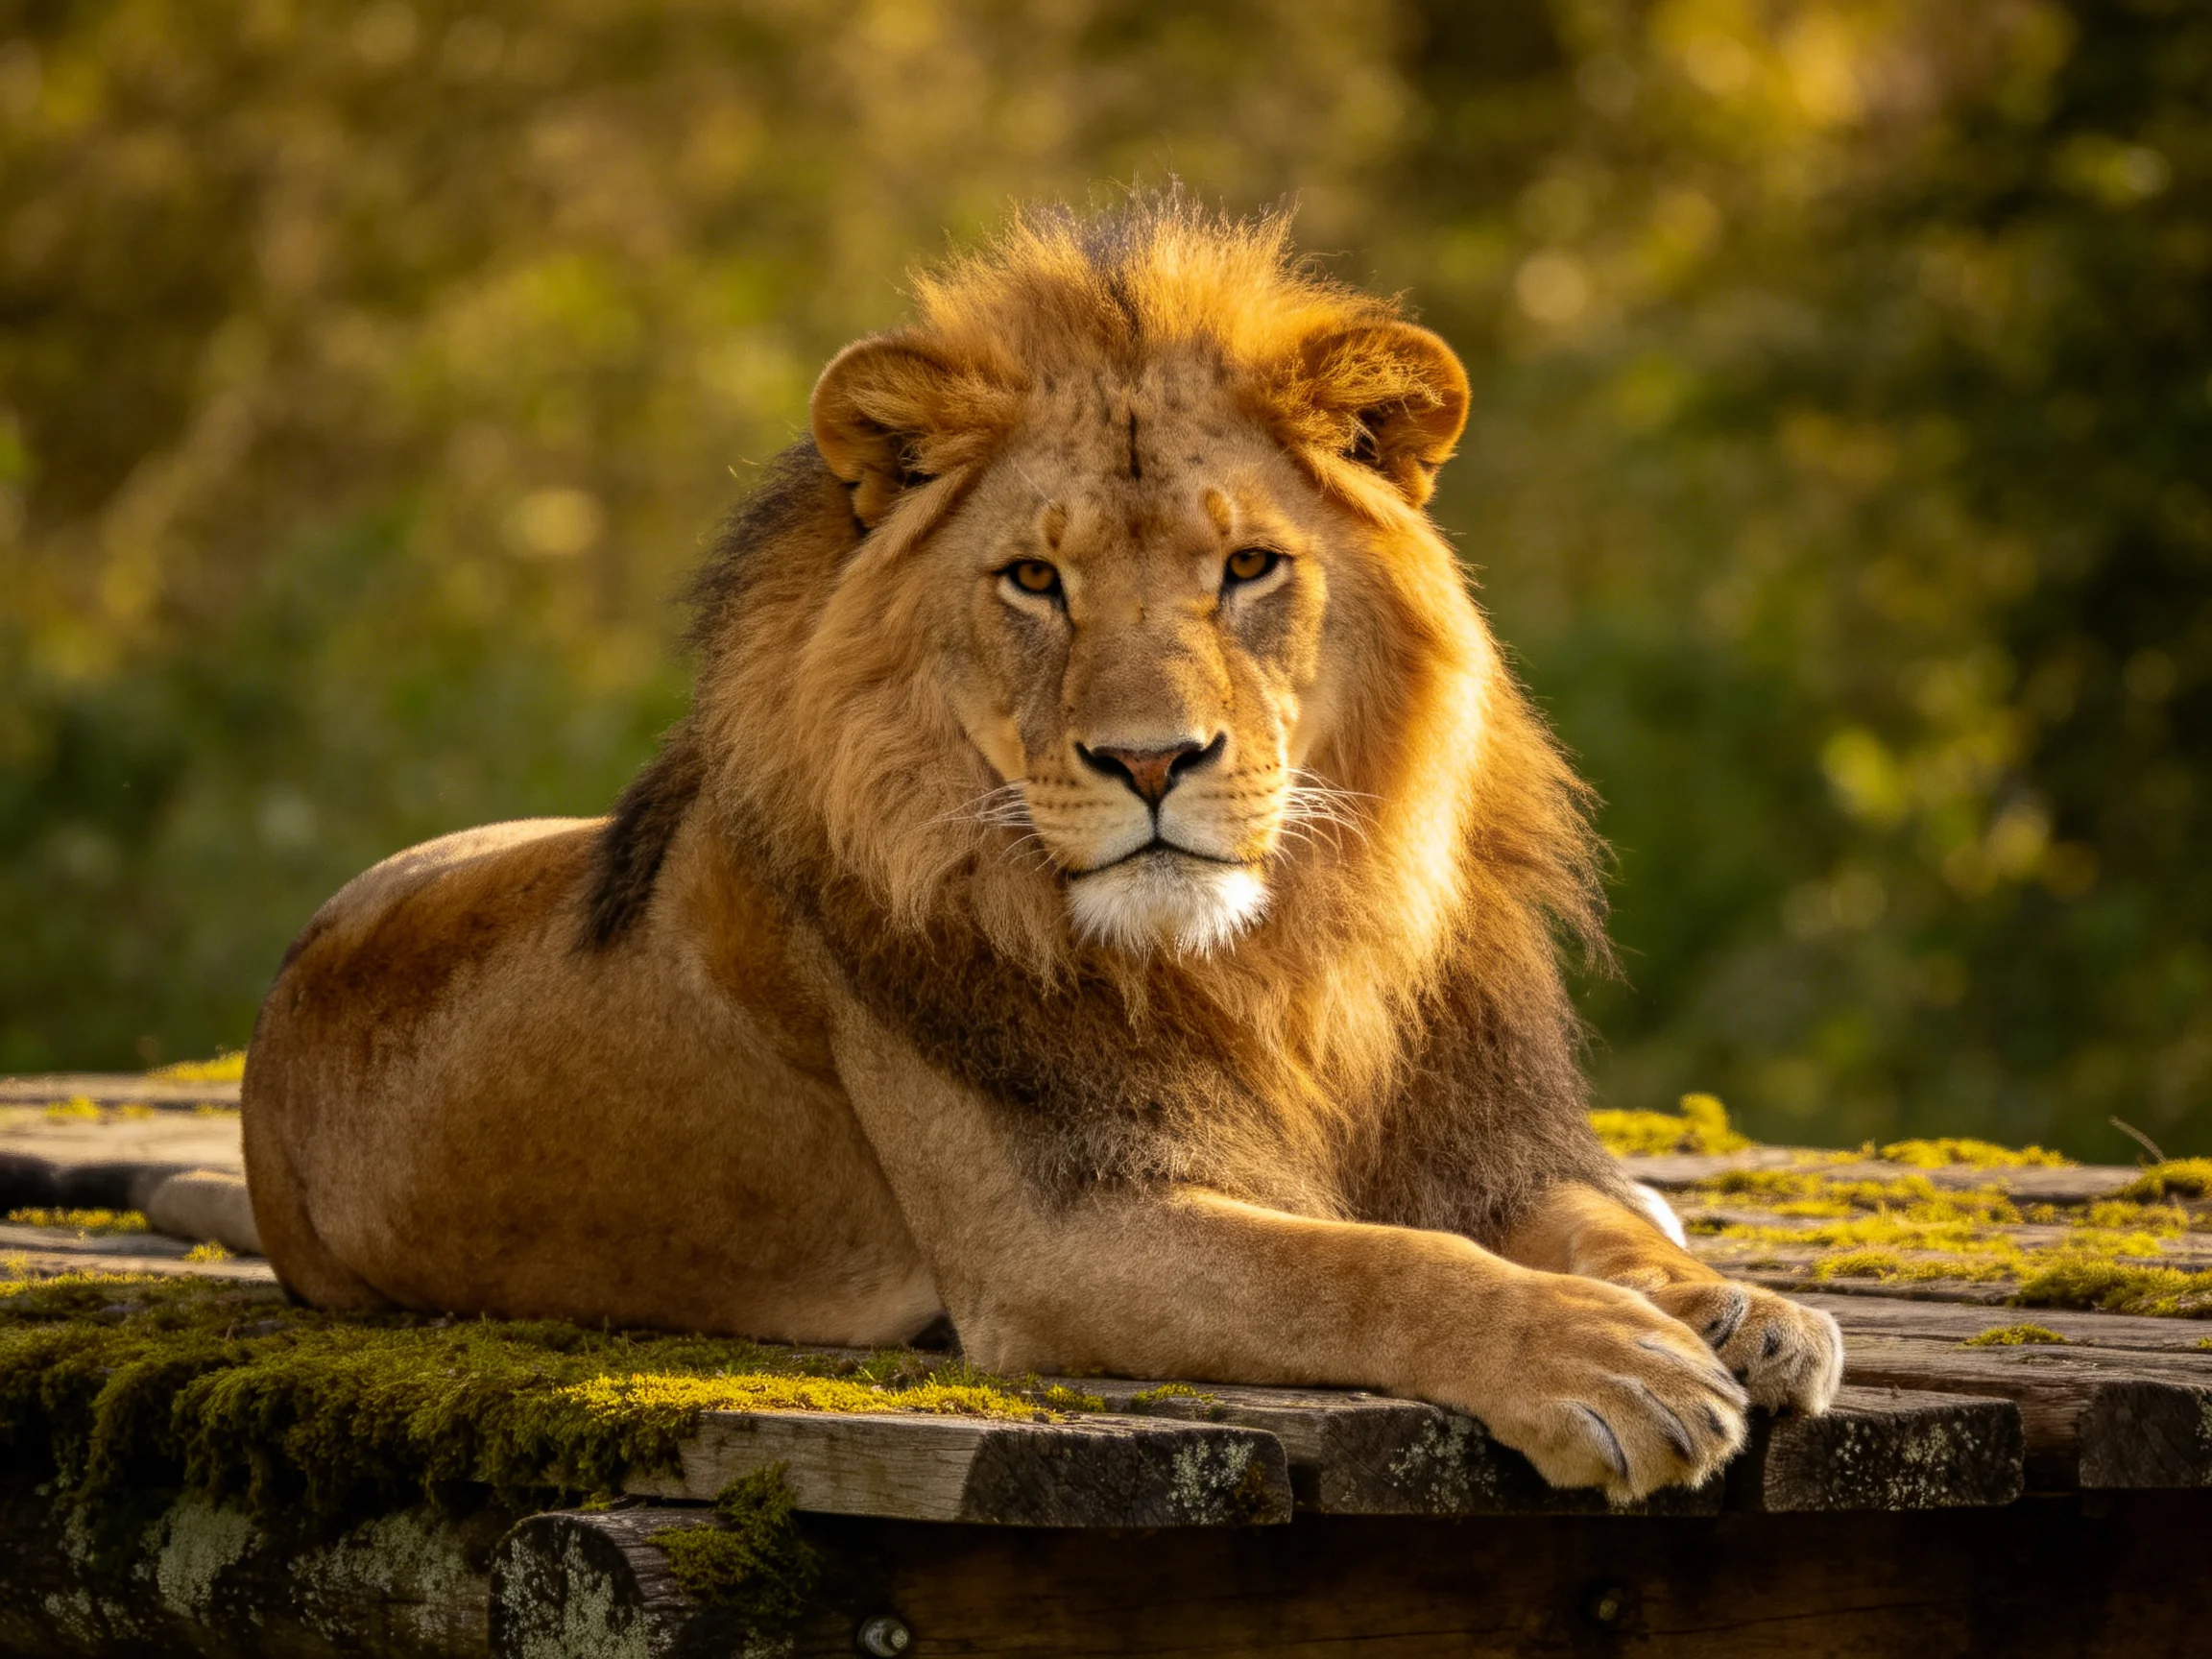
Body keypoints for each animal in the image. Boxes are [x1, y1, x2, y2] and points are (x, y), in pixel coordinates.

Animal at [241, 200, 1841, 1501]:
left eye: (1247, 567)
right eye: (1033, 580)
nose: (1151, 761)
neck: (1282, 956)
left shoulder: (1481, 1139)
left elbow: (1591, 1219)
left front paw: (1732, 1307)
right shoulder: (1057, 1242)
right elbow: (1367, 1264)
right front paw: (1606, 1365)